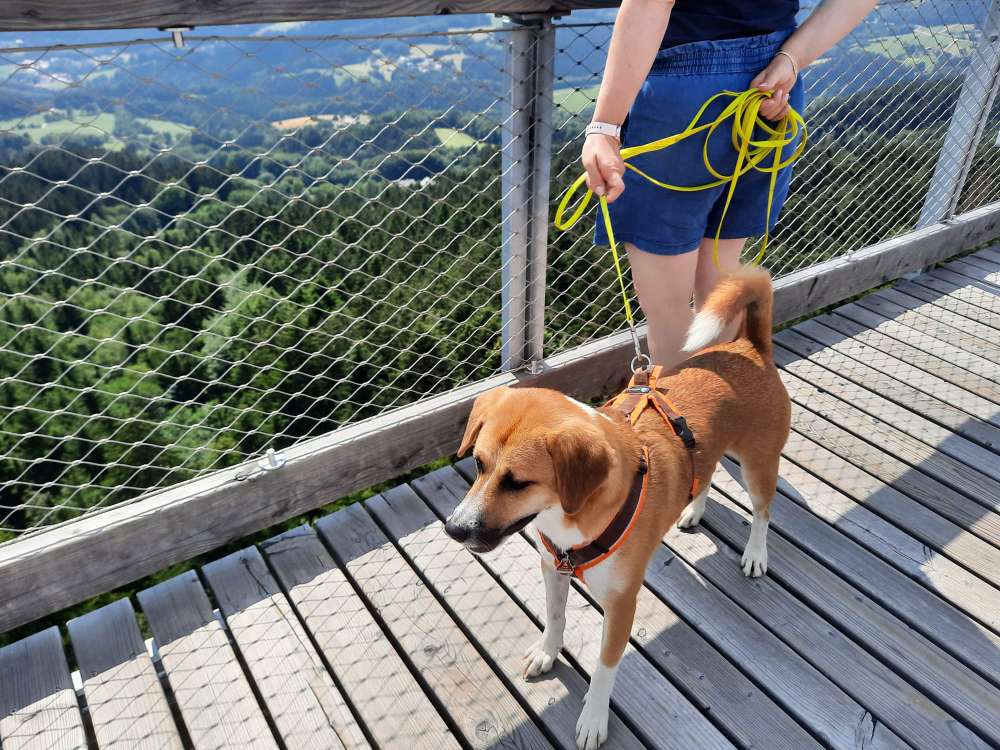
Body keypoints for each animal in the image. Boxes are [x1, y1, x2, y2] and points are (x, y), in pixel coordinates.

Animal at [446, 268, 788, 748]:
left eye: (518, 483)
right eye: (478, 463)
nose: (453, 529)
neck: (569, 516)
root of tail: (750, 346)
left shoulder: (623, 603)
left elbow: (605, 667)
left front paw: (593, 719)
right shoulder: (553, 570)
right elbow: (555, 619)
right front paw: (548, 653)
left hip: (759, 465)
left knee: (763, 511)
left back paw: (756, 552)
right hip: (711, 451)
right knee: (705, 472)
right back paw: (693, 509)